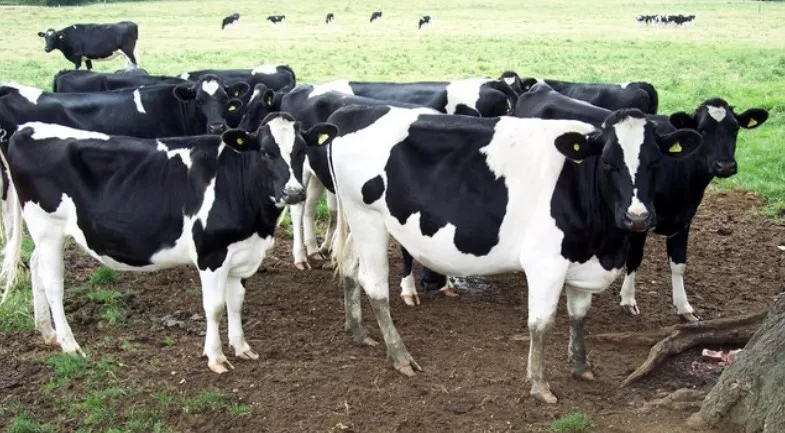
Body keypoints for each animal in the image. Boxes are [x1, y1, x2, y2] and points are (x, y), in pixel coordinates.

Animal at [0, 114, 337, 373]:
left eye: (301, 151)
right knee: (53, 284)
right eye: (266, 152)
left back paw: (48, 332)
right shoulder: (211, 254)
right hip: (48, 228)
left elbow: (236, 303)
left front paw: (242, 346)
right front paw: (216, 357)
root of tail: (25, 128)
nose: (294, 193)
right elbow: (215, 307)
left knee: (36, 267)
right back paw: (69, 343)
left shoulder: (241, 253)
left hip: (45, 234)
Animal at [311, 103, 702, 403]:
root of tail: (353, 111)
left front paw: (582, 367)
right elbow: (541, 324)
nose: (638, 217)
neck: (603, 244)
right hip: (368, 218)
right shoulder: (546, 264)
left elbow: (578, 317)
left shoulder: (580, 262)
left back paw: (358, 332)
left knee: (349, 267)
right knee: (375, 285)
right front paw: (540, 386)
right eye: (608, 163)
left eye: (655, 163)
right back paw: (400, 356)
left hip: (357, 220)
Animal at [513, 82, 769, 322]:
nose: (725, 165)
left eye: (735, 129)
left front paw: (684, 307)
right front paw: (628, 299)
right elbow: (635, 257)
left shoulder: (684, 219)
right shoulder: (637, 219)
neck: (682, 179)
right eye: (704, 130)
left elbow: (679, 263)